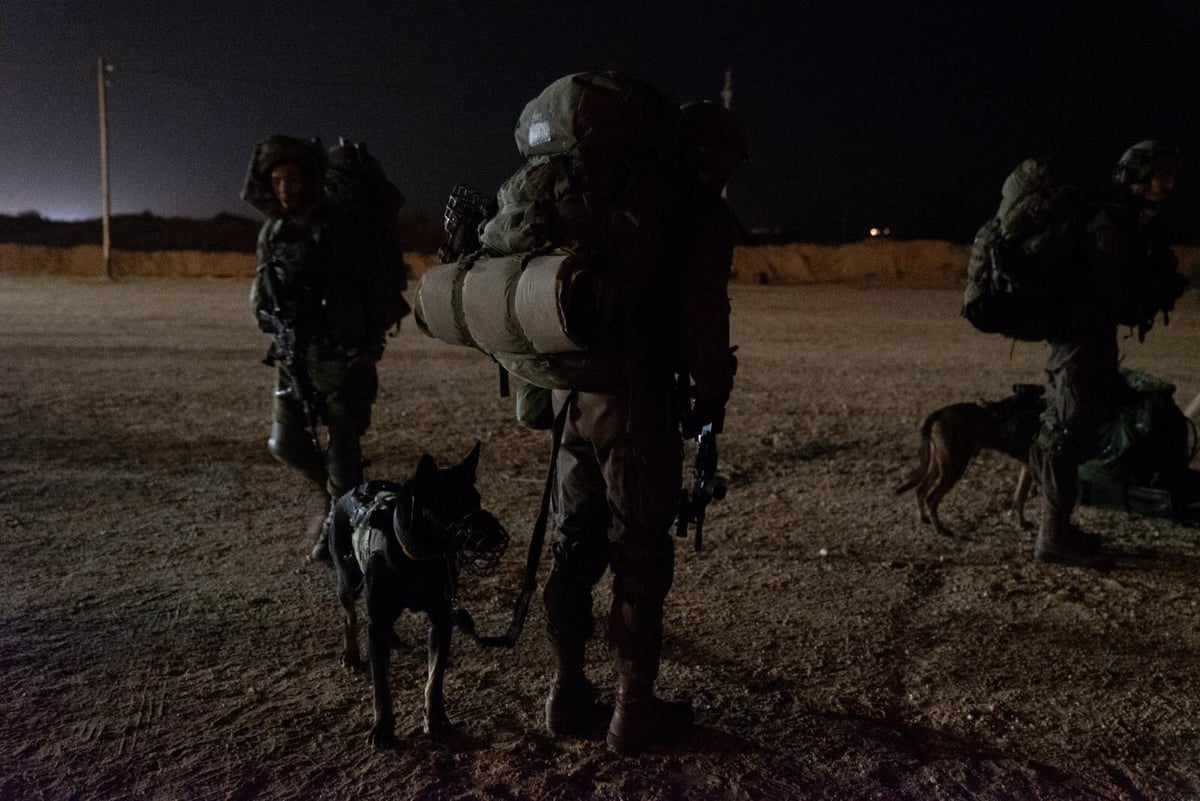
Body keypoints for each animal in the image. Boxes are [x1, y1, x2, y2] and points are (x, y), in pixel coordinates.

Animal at [328, 441, 511, 748]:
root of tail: (352, 491)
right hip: (348, 582)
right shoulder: (377, 621)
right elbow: (381, 685)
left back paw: (392, 639)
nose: (497, 536)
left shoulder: (442, 620)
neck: (417, 557)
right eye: (452, 503)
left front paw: (435, 718)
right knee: (348, 616)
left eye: (477, 500)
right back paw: (351, 654)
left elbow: (434, 678)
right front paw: (382, 727)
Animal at [897, 383, 1046, 534]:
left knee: (920, 489)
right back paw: (939, 528)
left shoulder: (1027, 467)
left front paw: (1022, 523)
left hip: (939, 465)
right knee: (931, 498)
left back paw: (924, 518)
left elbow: (1020, 495)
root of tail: (937, 414)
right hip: (953, 467)